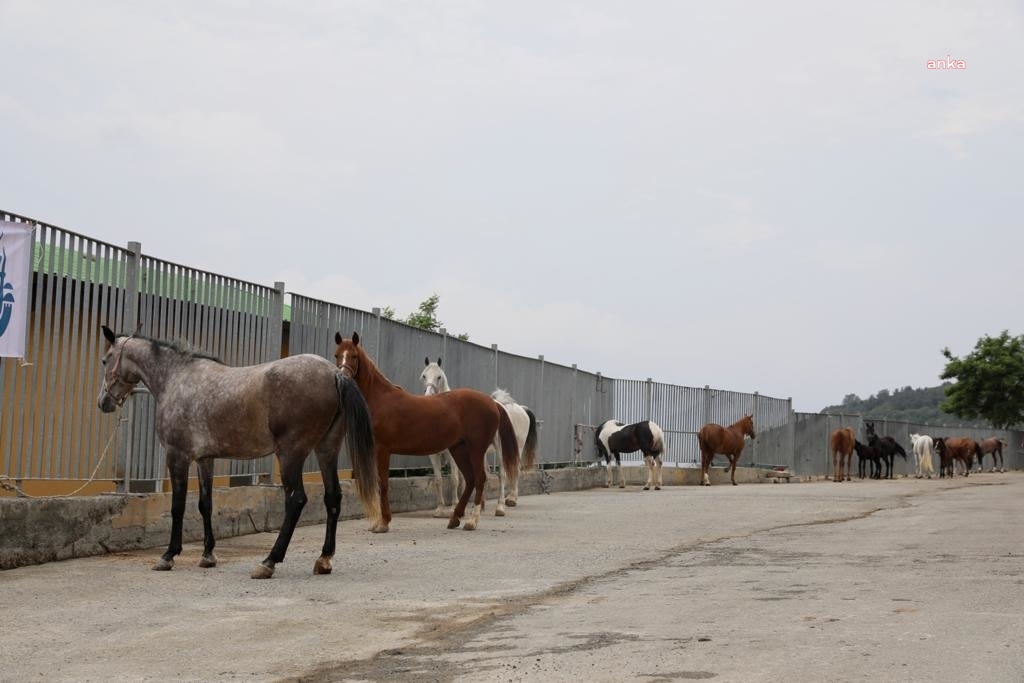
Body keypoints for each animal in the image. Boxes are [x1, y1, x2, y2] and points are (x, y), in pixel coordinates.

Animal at [333, 331, 516, 532]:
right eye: (337, 355)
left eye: (354, 356)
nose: (342, 377)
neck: (381, 399)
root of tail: (493, 403)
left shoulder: (383, 450)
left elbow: (383, 484)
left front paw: (383, 523)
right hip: (459, 449)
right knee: (469, 479)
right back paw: (454, 518)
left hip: (476, 450)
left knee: (480, 478)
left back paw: (472, 520)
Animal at [419, 360, 540, 516]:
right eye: (424, 376)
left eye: (439, 377)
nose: (428, 395)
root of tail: (521, 408)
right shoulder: (435, 454)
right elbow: (440, 480)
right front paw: (440, 509)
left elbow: (454, 479)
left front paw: (453, 507)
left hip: (514, 447)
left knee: (512, 470)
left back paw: (510, 500)